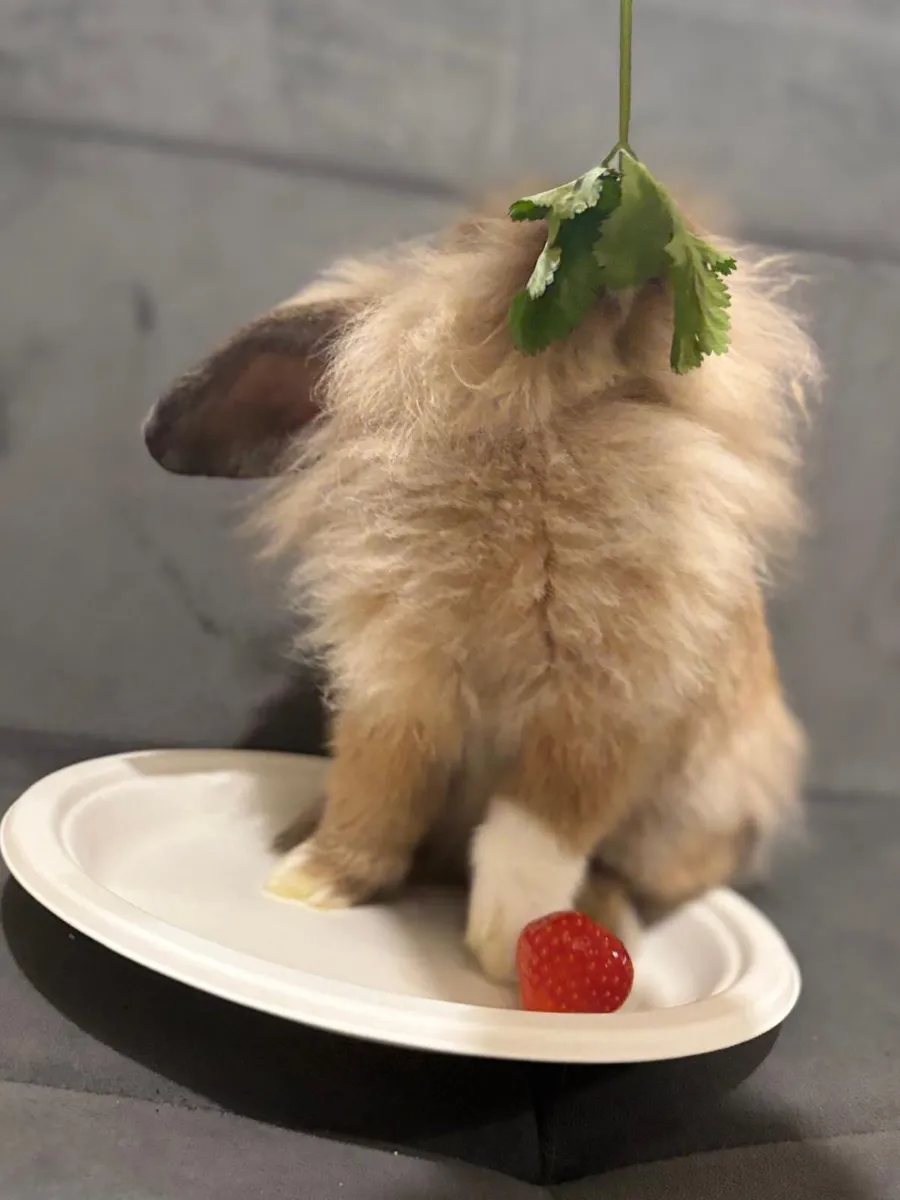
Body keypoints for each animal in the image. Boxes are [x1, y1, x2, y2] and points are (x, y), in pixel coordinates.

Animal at [143, 196, 820, 983]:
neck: (540, 430)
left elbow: (533, 835)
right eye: (474, 233)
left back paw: (605, 912)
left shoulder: (602, 722)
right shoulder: (395, 693)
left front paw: (506, 949)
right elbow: (373, 798)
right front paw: (310, 882)